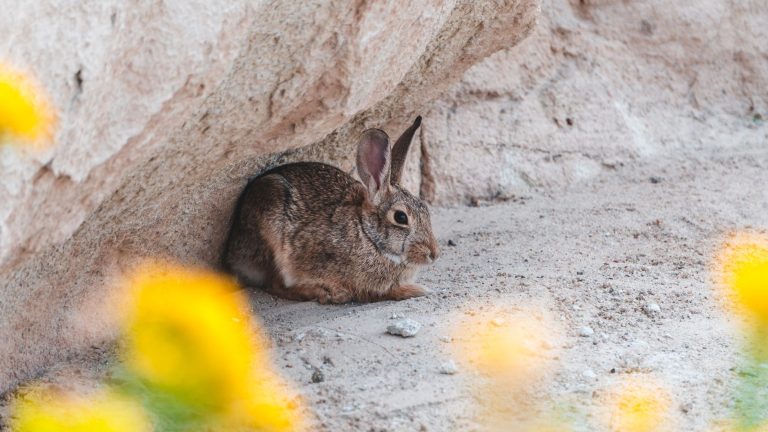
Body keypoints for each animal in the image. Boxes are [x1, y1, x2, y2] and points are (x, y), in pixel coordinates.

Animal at [221, 116, 439, 304]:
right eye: (400, 217)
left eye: (426, 210)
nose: (434, 254)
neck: (367, 234)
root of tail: (233, 251)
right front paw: (416, 290)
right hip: (272, 234)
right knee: (274, 284)